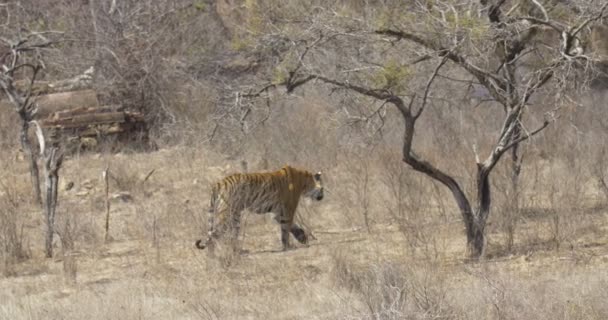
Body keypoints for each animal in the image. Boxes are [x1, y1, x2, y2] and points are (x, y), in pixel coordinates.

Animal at [197, 164, 326, 254]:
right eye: (323, 189)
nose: (323, 197)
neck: (304, 182)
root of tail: (219, 183)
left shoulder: (278, 212)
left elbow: (292, 226)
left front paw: (302, 237)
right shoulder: (288, 209)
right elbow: (286, 229)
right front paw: (288, 246)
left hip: (235, 216)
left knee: (231, 235)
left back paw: (239, 251)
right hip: (226, 214)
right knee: (213, 234)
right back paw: (212, 255)